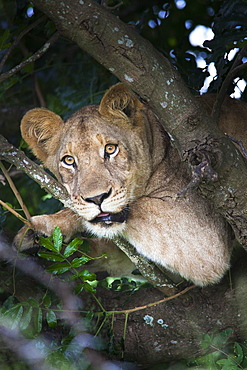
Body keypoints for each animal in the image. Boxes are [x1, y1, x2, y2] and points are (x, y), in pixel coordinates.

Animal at [14, 84, 246, 286]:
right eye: (69, 160)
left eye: (110, 149)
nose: (97, 198)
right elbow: (107, 253)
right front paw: (37, 242)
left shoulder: (204, 240)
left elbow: (135, 206)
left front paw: (48, 224)